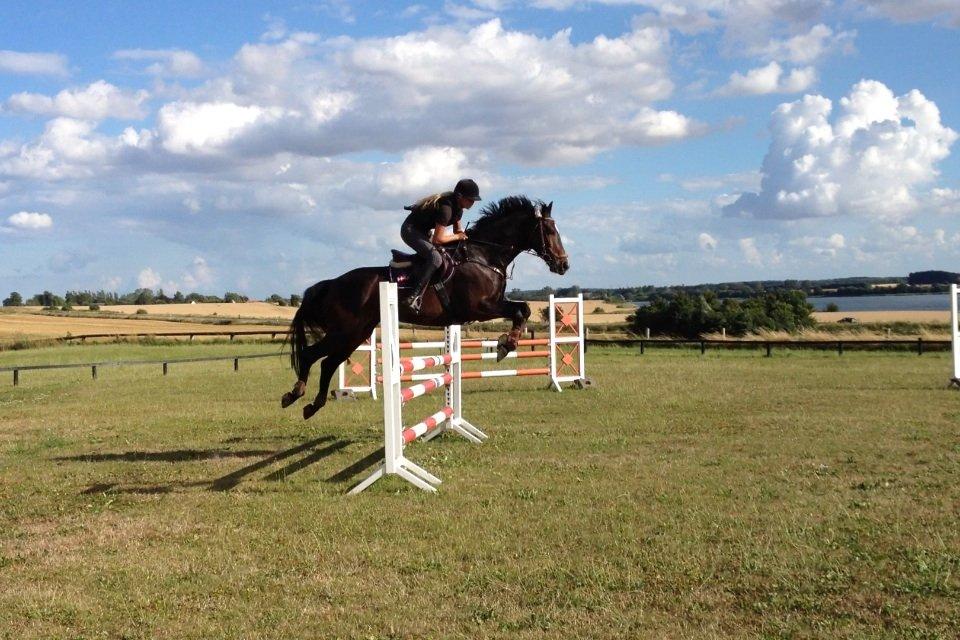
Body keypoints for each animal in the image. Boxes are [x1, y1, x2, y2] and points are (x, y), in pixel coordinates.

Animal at [284, 195, 568, 420]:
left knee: (328, 363)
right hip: (344, 331)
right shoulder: (480, 308)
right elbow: (521, 310)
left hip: (355, 334)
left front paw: (506, 344)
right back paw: (295, 394)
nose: (564, 265)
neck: (485, 256)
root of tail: (332, 283)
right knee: (311, 356)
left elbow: (524, 309)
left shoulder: (492, 305)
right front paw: (505, 345)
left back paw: (311, 405)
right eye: (549, 231)